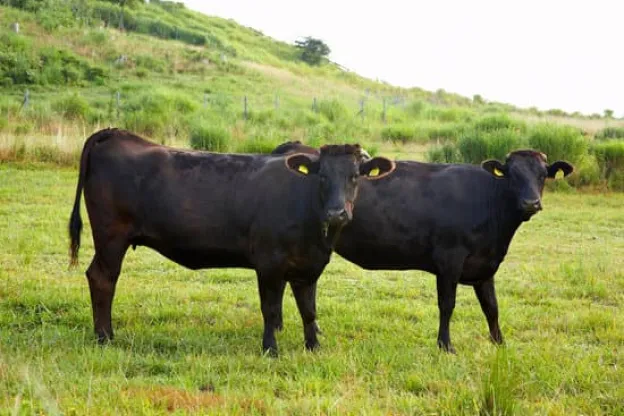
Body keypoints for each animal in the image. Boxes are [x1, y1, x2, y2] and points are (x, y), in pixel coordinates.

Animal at [68, 128, 390, 356]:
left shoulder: (308, 266)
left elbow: (308, 310)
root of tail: (117, 132)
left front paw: (313, 348)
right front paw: (270, 349)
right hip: (111, 237)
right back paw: (105, 337)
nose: (337, 213)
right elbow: (270, 308)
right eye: (321, 176)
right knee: (103, 278)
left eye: (355, 176)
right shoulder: (269, 263)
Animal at [272, 142, 576, 352]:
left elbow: (492, 307)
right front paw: (445, 345)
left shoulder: (485, 265)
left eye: (542, 175)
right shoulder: (450, 259)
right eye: (513, 175)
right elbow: (447, 304)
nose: (531, 203)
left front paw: (499, 343)